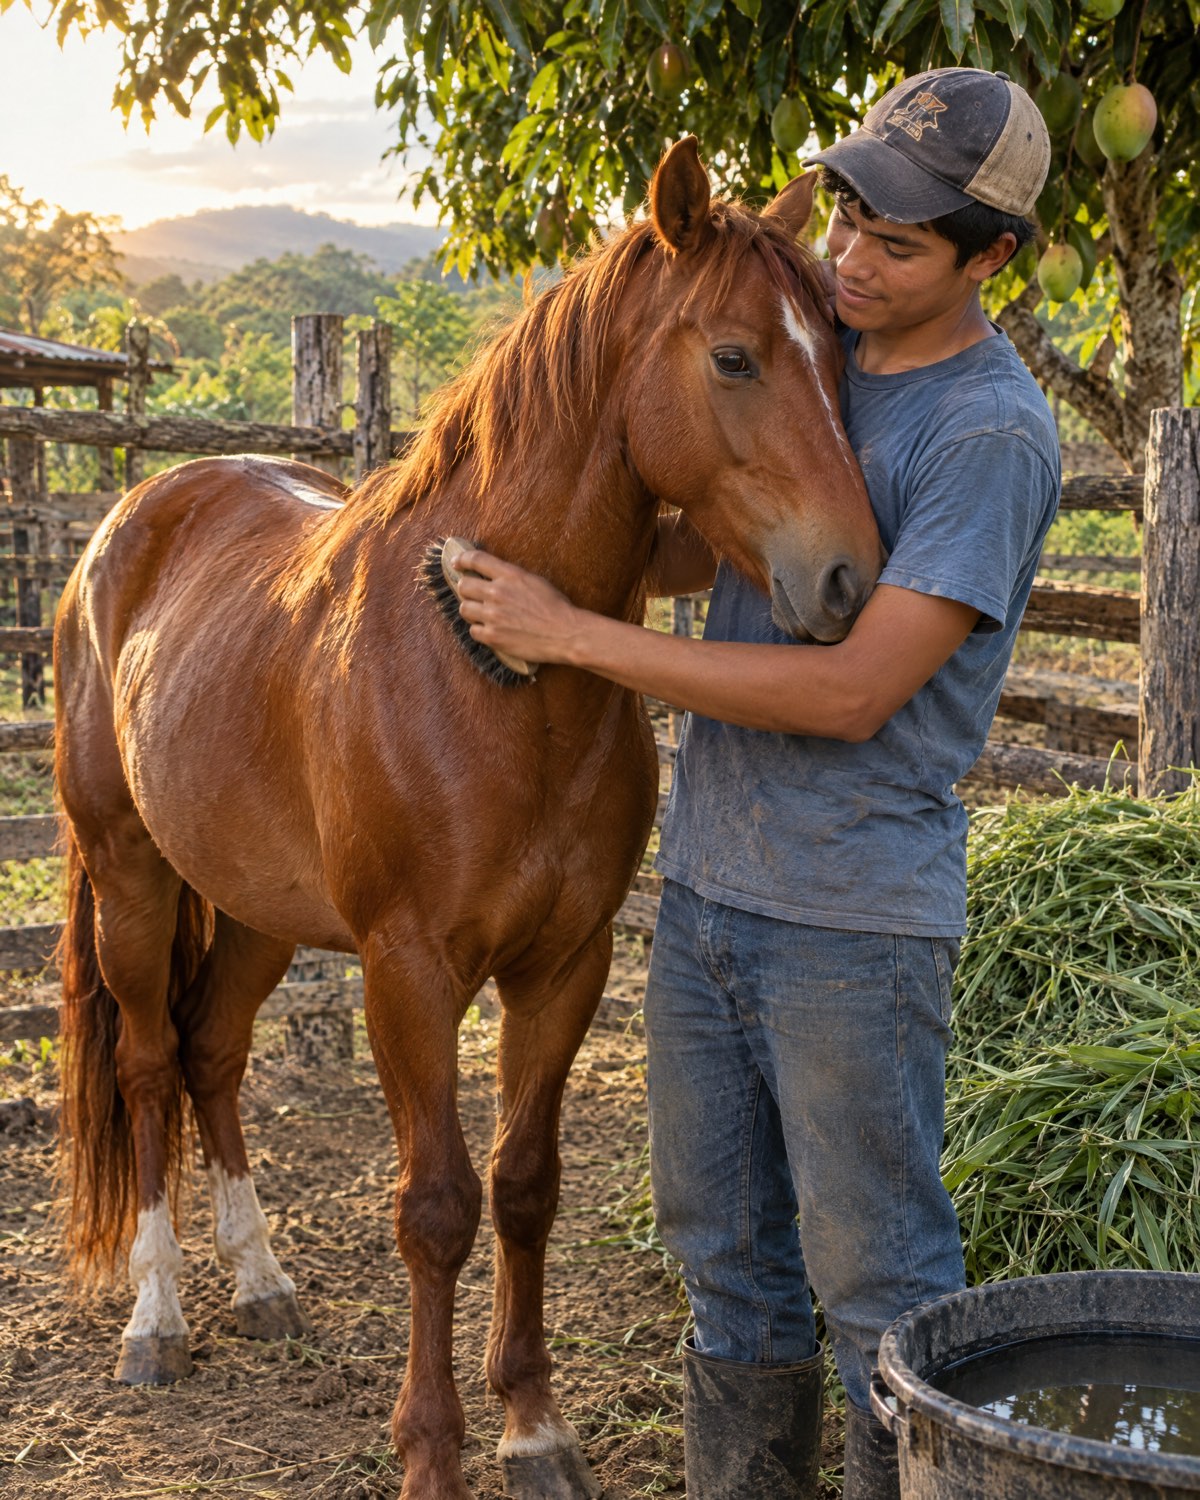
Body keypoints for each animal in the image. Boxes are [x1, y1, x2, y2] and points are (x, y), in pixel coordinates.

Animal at [53, 138, 882, 1500]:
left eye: (843, 356)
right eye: (735, 357)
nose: (851, 582)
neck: (495, 680)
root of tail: (132, 519)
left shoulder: (564, 965)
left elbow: (524, 1186)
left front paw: (534, 1430)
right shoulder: (410, 972)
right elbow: (436, 1207)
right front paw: (432, 1451)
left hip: (254, 908)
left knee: (215, 1053)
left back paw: (261, 1281)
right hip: (132, 879)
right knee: (150, 1065)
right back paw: (157, 1319)